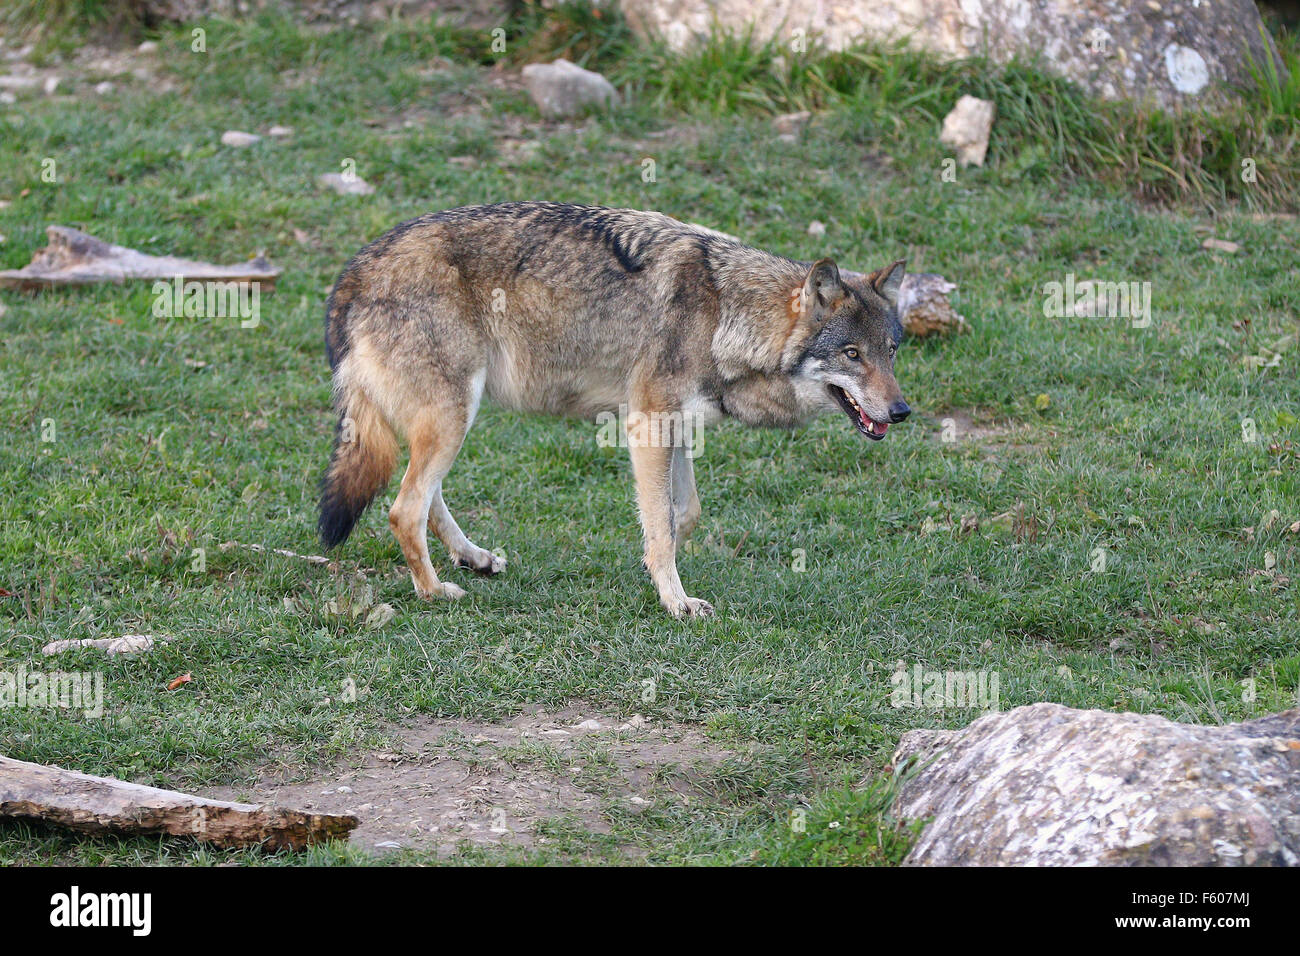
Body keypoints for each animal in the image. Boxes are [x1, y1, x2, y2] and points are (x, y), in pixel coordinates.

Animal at [319, 202, 910, 618]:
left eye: (891, 350)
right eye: (852, 355)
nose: (902, 411)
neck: (726, 314)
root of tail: (353, 271)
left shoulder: (677, 425)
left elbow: (681, 515)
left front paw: (655, 570)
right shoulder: (647, 423)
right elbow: (664, 524)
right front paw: (677, 602)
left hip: (451, 418)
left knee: (422, 498)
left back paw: (474, 557)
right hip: (453, 416)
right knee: (404, 509)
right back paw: (435, 590)